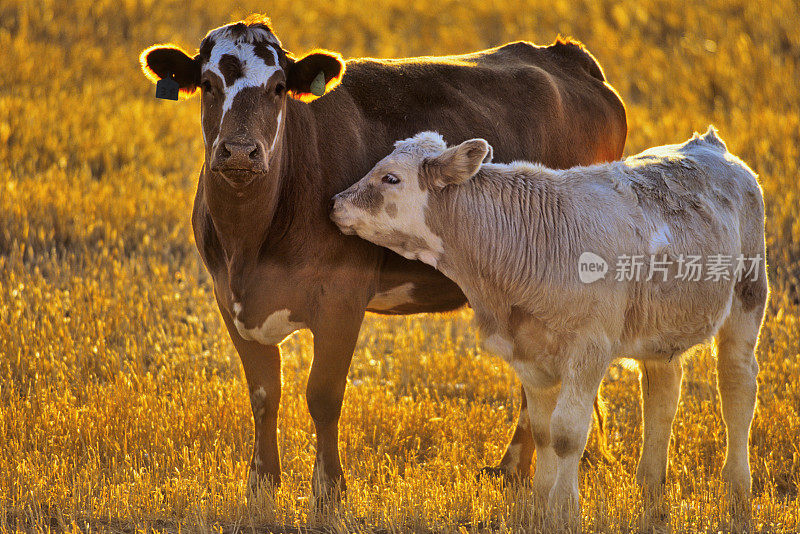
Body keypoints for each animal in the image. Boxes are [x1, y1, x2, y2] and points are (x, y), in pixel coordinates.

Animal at [141, 15, 628, 502]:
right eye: (207, 84)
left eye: (279, 87)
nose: (240, 151)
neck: (250, 242)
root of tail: (563, 54)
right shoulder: (230, 299)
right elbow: (264, 394)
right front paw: (261, 484)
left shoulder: (342, 299)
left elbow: (323, 395)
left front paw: (329, 490)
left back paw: (515, 467)